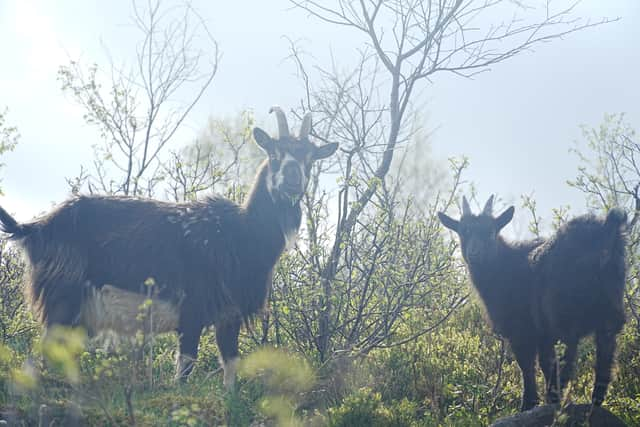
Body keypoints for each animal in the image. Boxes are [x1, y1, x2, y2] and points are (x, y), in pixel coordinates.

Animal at [0, 108, 340, 392]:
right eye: (274, 152)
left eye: (311, 158)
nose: (293, 180)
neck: (240, 234)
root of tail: (38, 227)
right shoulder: (192, 308)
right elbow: (186, 366)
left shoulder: (228, 315)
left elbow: (231, 365)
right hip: (62, 297)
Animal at [438, 196, 628, 412]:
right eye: (464, 232)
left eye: (491, 232)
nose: (474, 253)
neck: (505, 266)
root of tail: (605, 232)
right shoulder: (542, 333)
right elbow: (545, 363)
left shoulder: (522, 330)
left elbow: (528, 365)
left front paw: (529, 404)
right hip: (610, 308)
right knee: (605, 354)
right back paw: (593, 402)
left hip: (563, 310)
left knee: (569, 354)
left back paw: (557, 397)